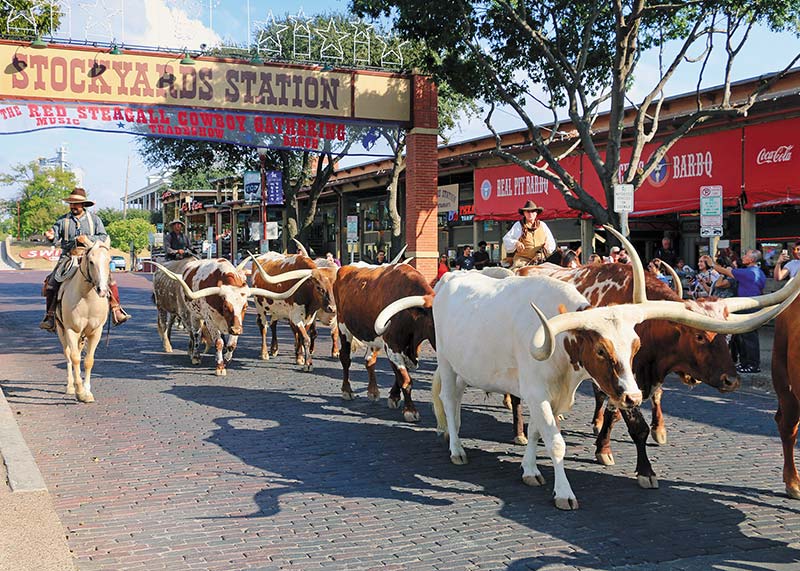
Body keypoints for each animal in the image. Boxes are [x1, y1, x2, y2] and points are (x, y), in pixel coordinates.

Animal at [55, 239, 112, 404]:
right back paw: (70, 386)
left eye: (109, 261)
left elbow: (88, 360)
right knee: (68, 354)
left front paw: (87, 392)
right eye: (91, 261)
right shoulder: (70, 330)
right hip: (61, 330)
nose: (102, 290)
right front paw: (80, 392)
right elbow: (74, 358)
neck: (86, 298)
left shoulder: (96, 331)